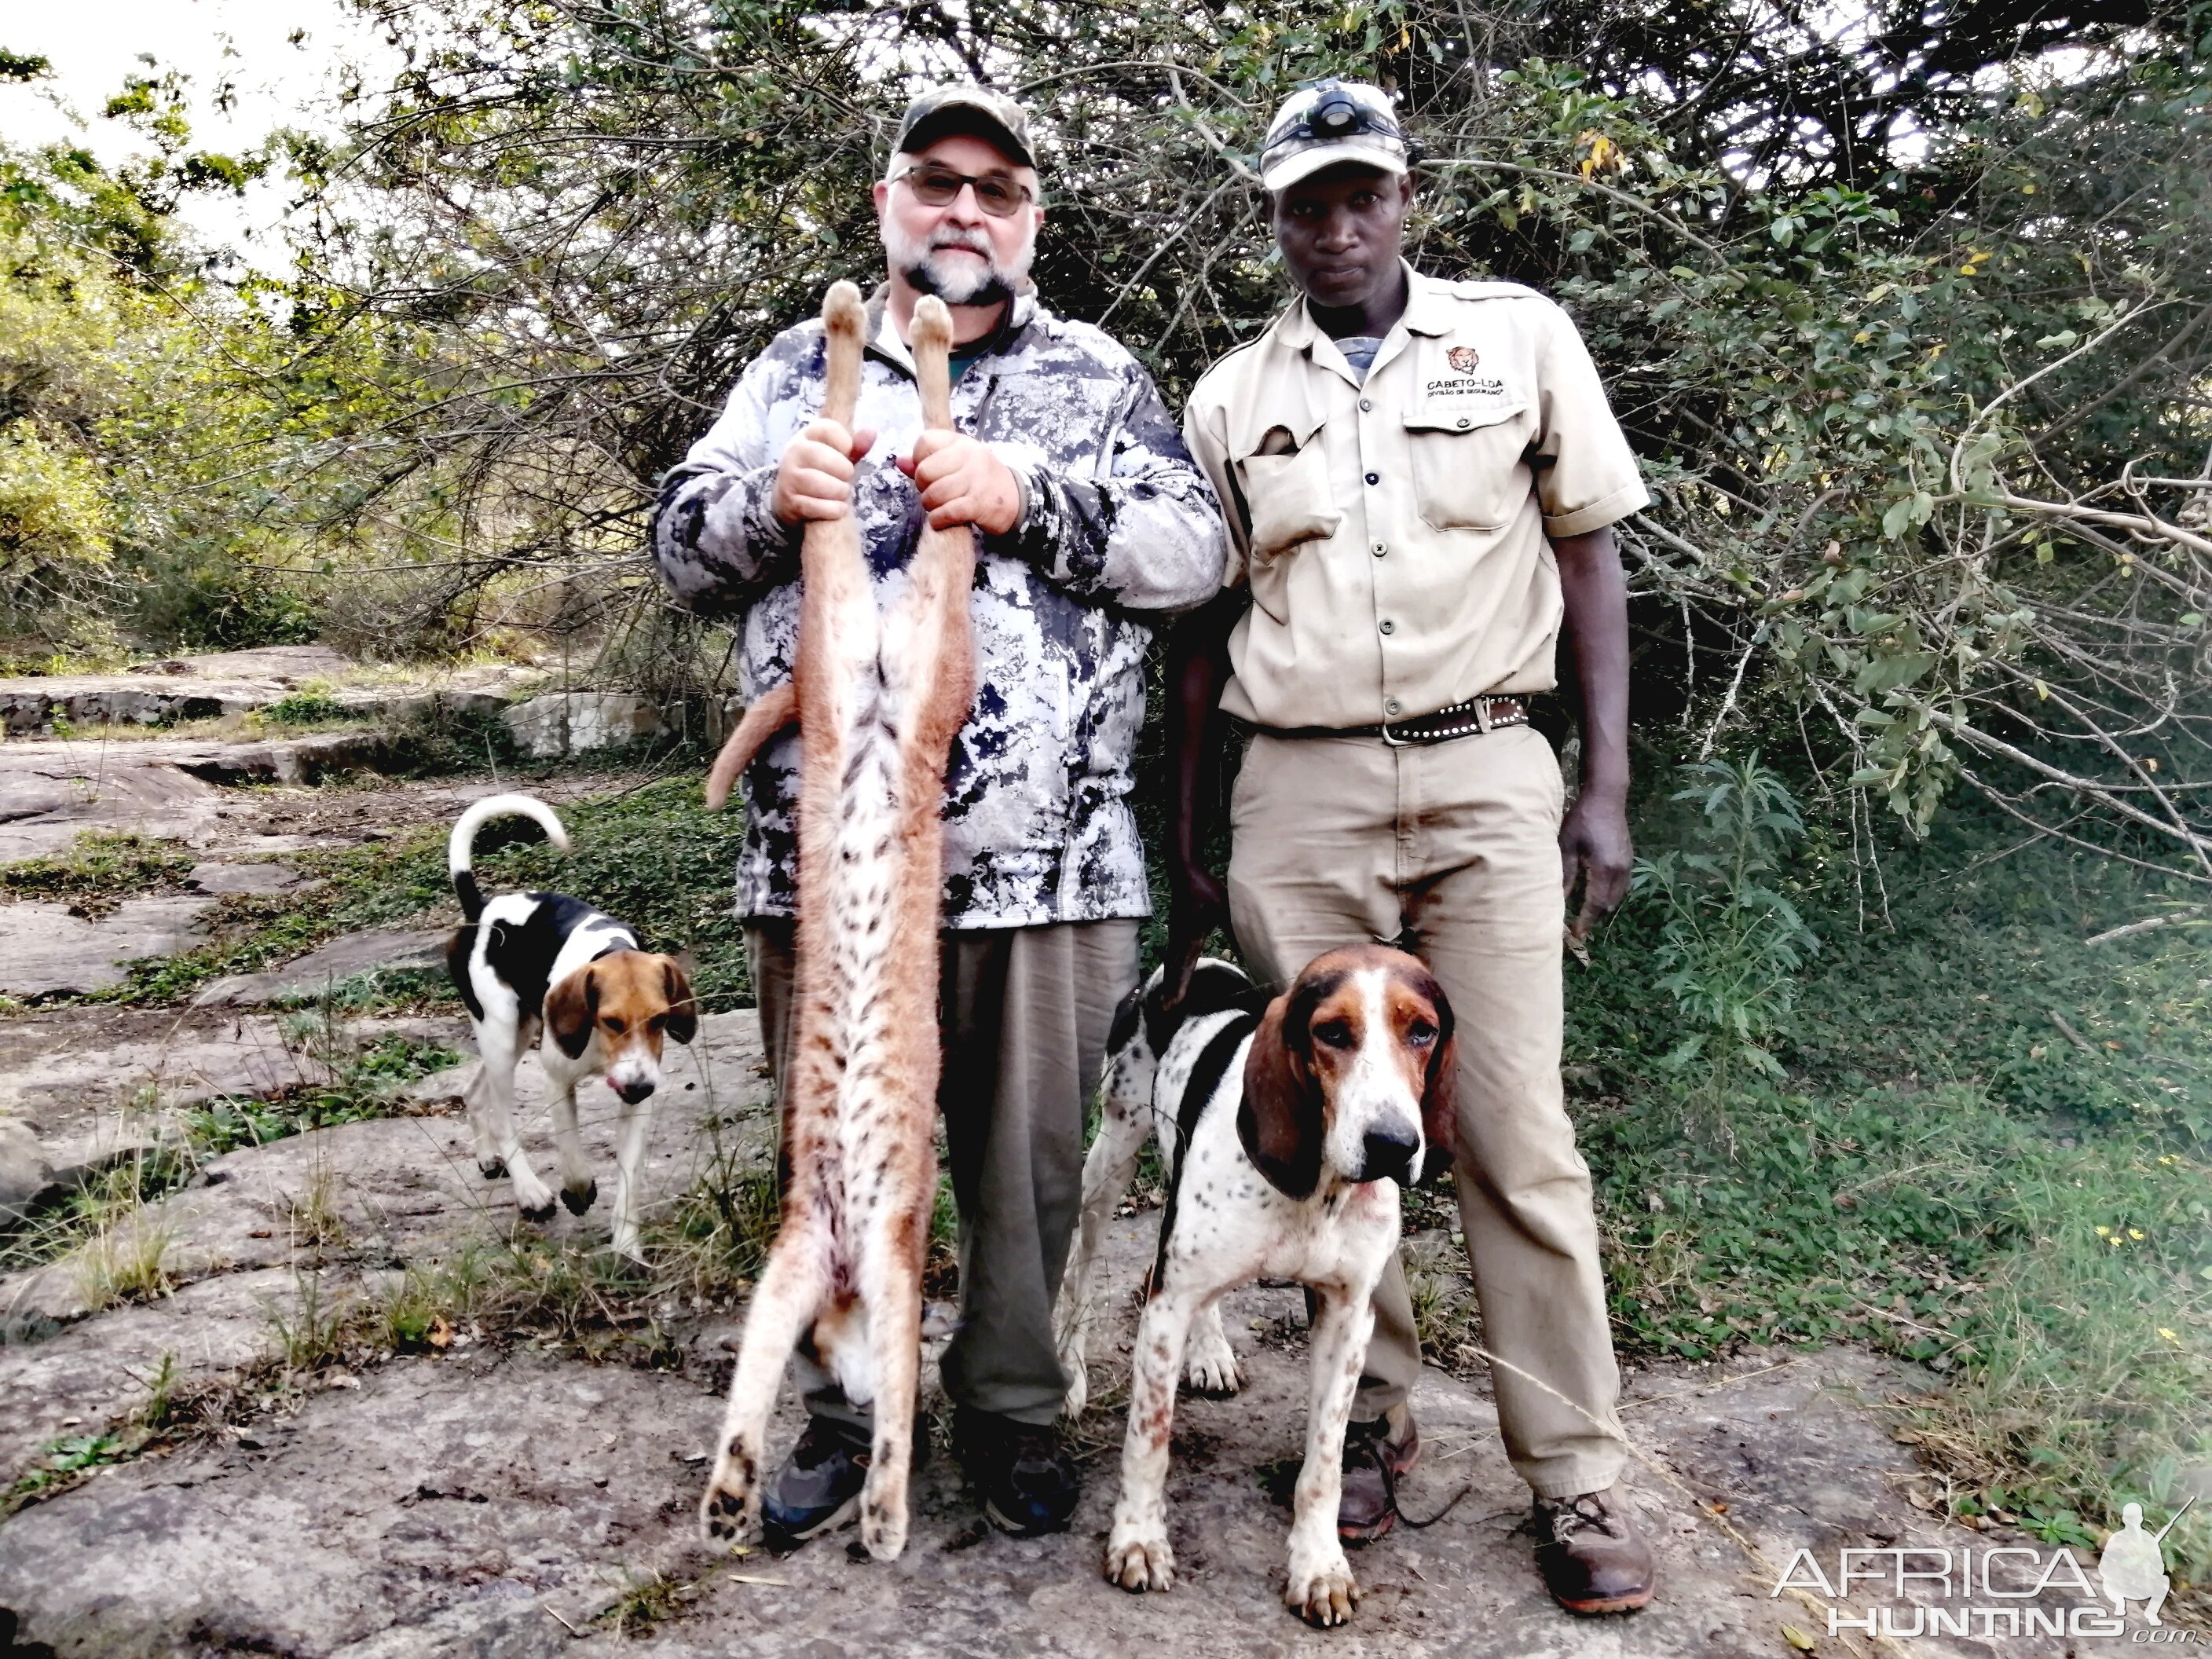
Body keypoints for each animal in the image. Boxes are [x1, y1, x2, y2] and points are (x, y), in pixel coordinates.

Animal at [445, 800, 694, 1265]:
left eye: (660, 1020)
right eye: (611, 1021)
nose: (638, 1087)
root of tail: (482, 908)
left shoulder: (638, 1098)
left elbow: (629, 1179)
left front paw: (626, 1248)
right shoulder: (557, 1081)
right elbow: (573, 1156)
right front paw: (578, 1191)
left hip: (517, 1033)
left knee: (473, 1093)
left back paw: (487, 1157)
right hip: (500, 1035)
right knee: (502, 1117)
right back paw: (530, 1191)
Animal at [1061, 942, 1459, 1628]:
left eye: (1422, 1031)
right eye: (1332, 1032)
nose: (1392, 1145)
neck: (1318, 1188)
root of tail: (1200, 968)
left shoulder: (1347, 1317)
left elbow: (1325, 1462)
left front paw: (1319, 1567)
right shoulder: (1167, 1305)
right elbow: (1149, 1438)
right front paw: (1138, 1541)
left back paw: (1211, 1353)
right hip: (1110, 1157)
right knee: (1078, 1266)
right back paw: (1072, 1369)